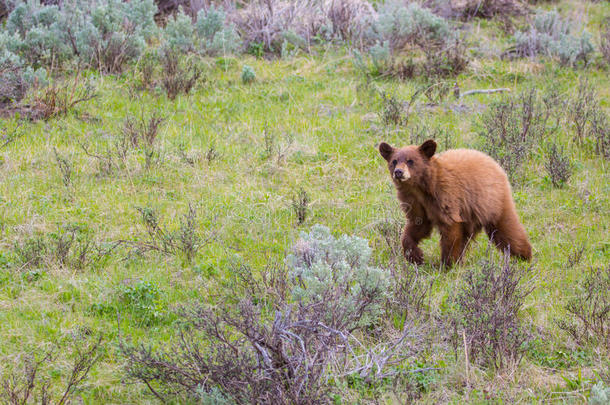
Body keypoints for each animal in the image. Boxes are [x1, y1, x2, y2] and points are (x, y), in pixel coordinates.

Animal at [378, 139, 528, 266]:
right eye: (394, 161)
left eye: (410, 161)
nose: (398, 172)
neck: (422, 187)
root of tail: (494, 163)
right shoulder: (415, 203)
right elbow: (417, 225)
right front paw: (415, 256)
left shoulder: (446, 195)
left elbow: (450, 229)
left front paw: (448, 264)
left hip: (492, 202)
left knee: (507, 229)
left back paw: (524, 256)